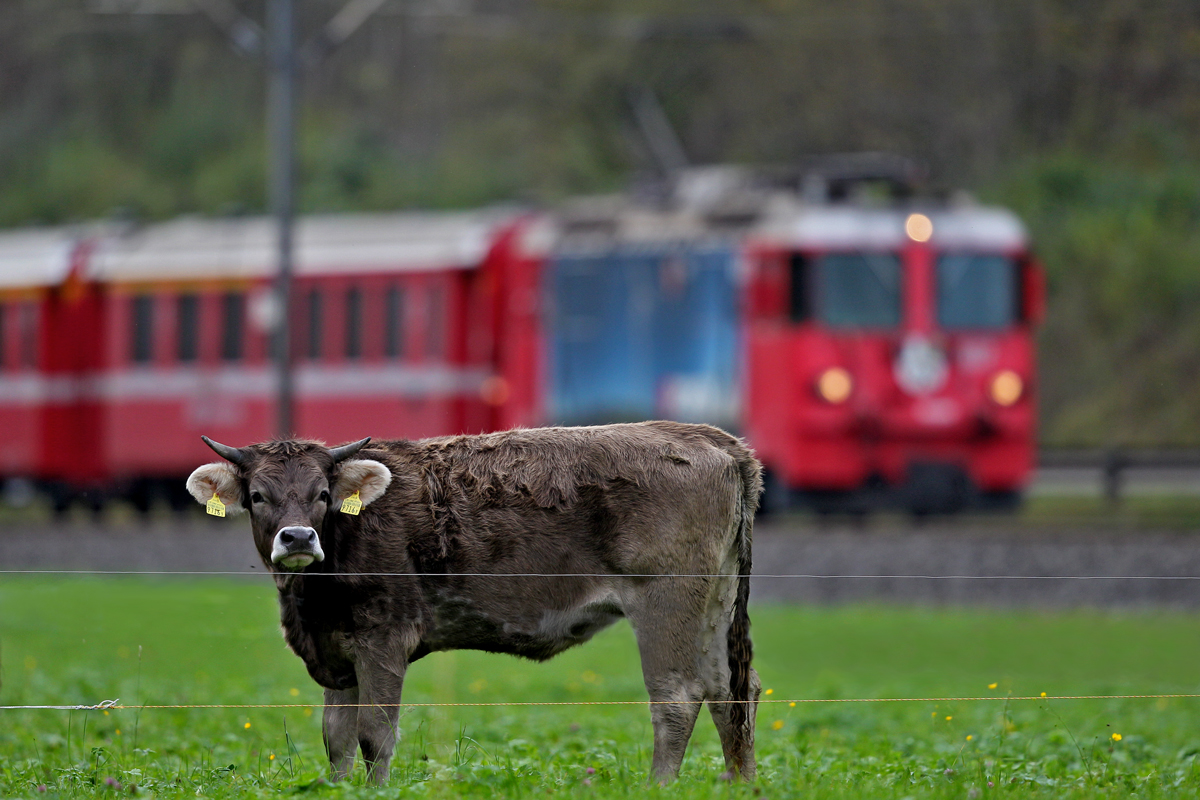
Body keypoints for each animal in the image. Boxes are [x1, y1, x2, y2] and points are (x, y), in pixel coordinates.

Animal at [189, 422, 758, 786]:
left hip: (666, 602)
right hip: (715, 604)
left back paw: (659, 785)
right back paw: (740, 783)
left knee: (677, 698)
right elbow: (337, 738)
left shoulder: (382, 643)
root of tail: (712, 439)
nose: (298, 537)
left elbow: (375, 734)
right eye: (257, 495)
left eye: (324, 494)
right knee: (731, 693)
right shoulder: (338, 650)